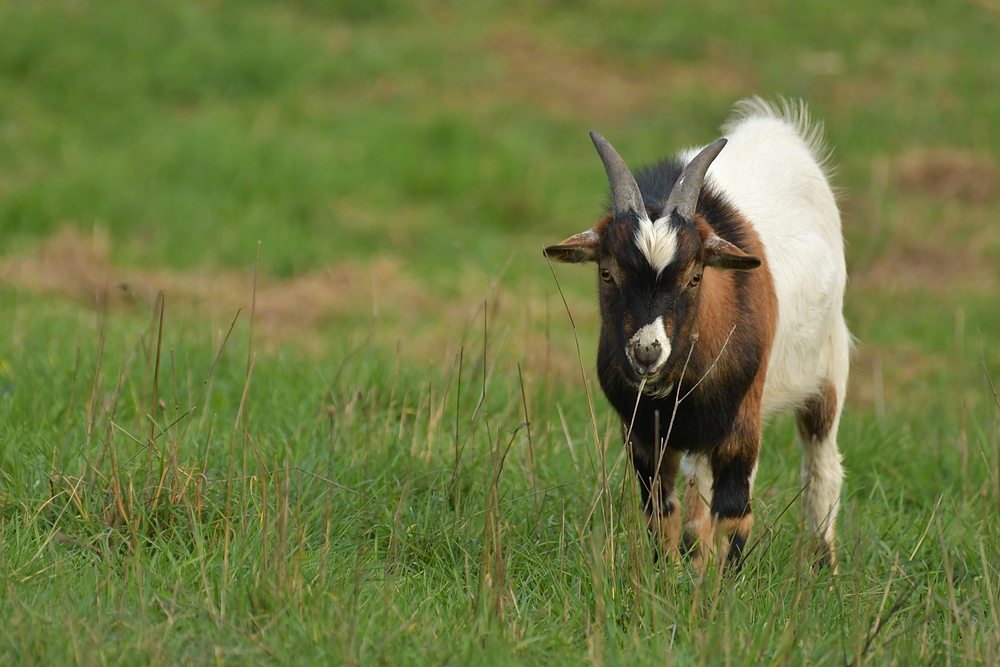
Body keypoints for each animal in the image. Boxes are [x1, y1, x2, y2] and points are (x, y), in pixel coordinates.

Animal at [544, 99, 848, 568]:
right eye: (607, 272)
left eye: (695, 276)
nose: (647, 353)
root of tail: (775, 128)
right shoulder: (644, 435)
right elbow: (661, 512)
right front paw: (667, 574)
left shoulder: (740, 424)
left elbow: (734, 515)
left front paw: (723, 586)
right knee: (696, 482)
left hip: (829, 368)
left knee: (822, 468)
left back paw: (822, 567)